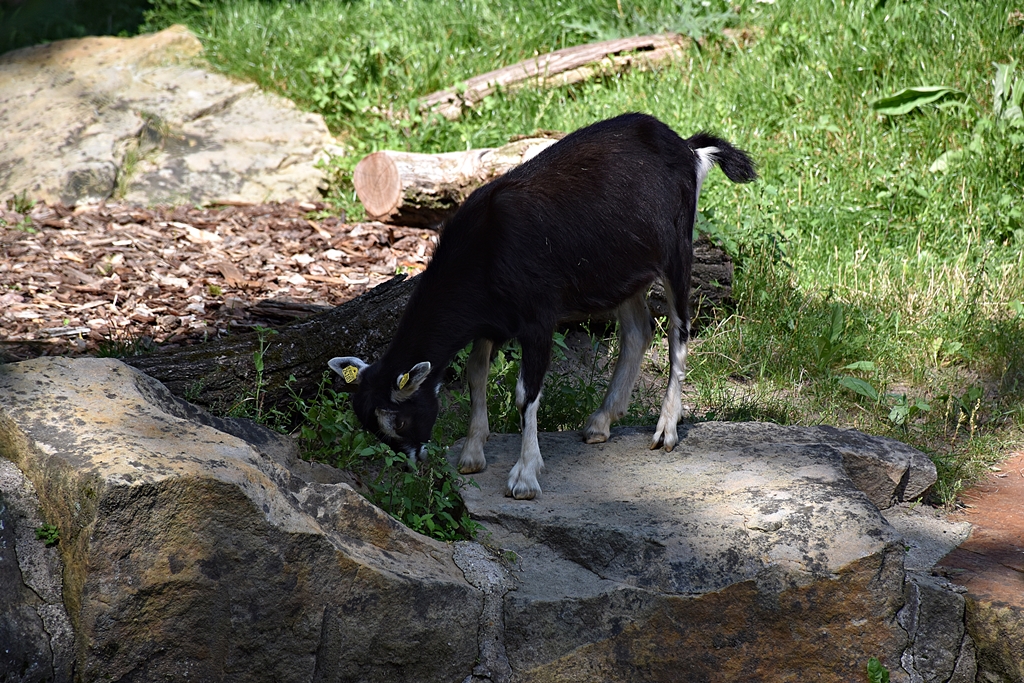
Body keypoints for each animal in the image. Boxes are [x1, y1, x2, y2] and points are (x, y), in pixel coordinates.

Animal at [329, 112, 756, 499]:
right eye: (372, 427)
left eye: (399, 422)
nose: (411, 464)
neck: (486, 247)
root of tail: (688, 148)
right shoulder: (490, 322)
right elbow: (476, 375)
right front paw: (472, 453)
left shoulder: (538, 319)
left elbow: (525, 393)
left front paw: (524, 475)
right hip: (623, 270)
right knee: (638, 330)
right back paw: (601, 421)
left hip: (676, 251)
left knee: (678, 332)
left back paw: (666, 430)